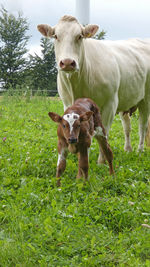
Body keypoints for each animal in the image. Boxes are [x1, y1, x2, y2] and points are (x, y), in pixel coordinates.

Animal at [37, 15, 150, 163]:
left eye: (79, 36)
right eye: (56, 36)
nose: (67, 62)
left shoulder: (110, 104)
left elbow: (103, 132)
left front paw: (102, 161)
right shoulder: (67, 104)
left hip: (146, 99)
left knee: (143, 124)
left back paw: (140, 150)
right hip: (126, 100)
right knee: (127, 127)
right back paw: (128, 149)